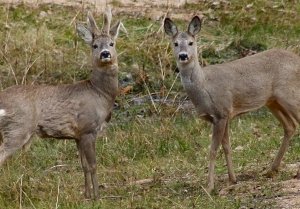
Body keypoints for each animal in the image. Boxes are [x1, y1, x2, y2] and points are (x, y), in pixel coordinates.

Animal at [0, 7, 122, 199]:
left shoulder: (78, 135)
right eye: (94, 45)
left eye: (112, 43)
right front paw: (97, 196)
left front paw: (86, 195)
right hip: (17, 128)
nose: (105, 54)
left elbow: (84, 165)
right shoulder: (88, 129)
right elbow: (93, 165)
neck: (99, 93)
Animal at [164, 15, 300, 193]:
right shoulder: (224, 116)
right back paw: (270, 170)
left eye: (191, 42)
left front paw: (209, 186)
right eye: (175, 43)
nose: (183, 56)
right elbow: (227, 147)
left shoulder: (221, 113)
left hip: (289, 94)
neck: (204, 86)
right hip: (273, 101)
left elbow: (213, 150)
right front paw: (232, 179)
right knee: (290, 126)